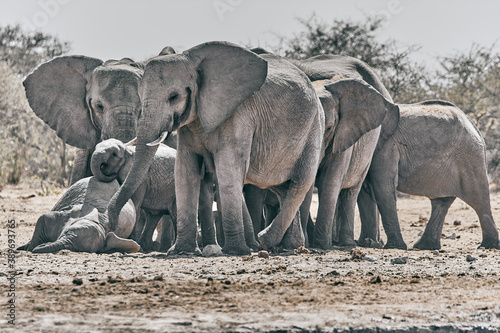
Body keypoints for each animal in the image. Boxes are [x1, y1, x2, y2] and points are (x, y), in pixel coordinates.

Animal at [108, 41, 328, 254]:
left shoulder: (238, 116)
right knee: (282, 187)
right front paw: (182, 251)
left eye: (174, 96)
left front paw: (235, 251)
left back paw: (266, 241)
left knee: (300, 183)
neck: (192, 61)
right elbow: (185, 170)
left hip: (314, 127)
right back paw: (288, 246)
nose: (112, 224)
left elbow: (227, 169)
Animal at [360, 100, 500, 249]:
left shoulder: (386, 146)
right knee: (441, 201)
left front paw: (392, 246)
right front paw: (367, 243)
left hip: (469, 157)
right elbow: (365, 189)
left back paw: (488, 246)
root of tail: (473, 125)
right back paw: (424, 246)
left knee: (478, 199)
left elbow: (382, 186)